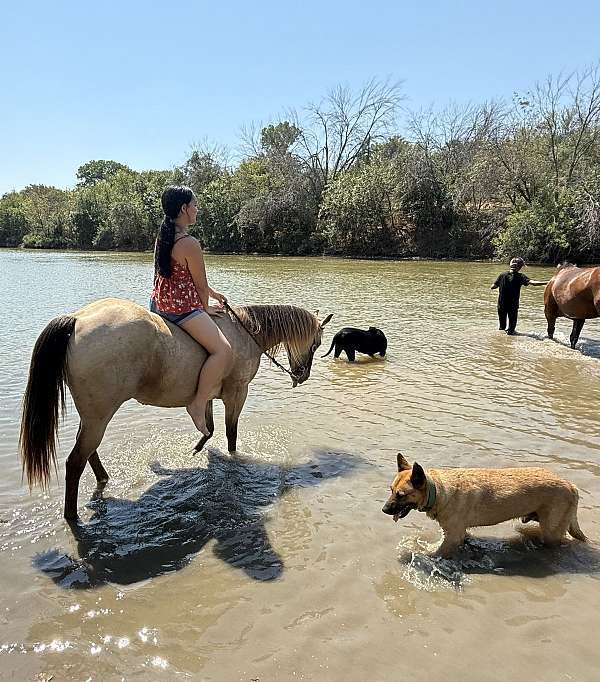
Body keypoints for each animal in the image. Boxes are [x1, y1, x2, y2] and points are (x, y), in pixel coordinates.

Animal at [19, 298, 333, 519]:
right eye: (316, 343)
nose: (302, 375)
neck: (246, 332)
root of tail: (77, 319)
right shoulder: (236, 394)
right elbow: (230, 434)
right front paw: (231, 458)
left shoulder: (207, 396)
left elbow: (210, 427)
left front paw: (197, 448)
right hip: (99, 415)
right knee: (75, 461)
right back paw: (72, 516)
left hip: (92, 415)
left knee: (86, 451)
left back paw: (103, 479)